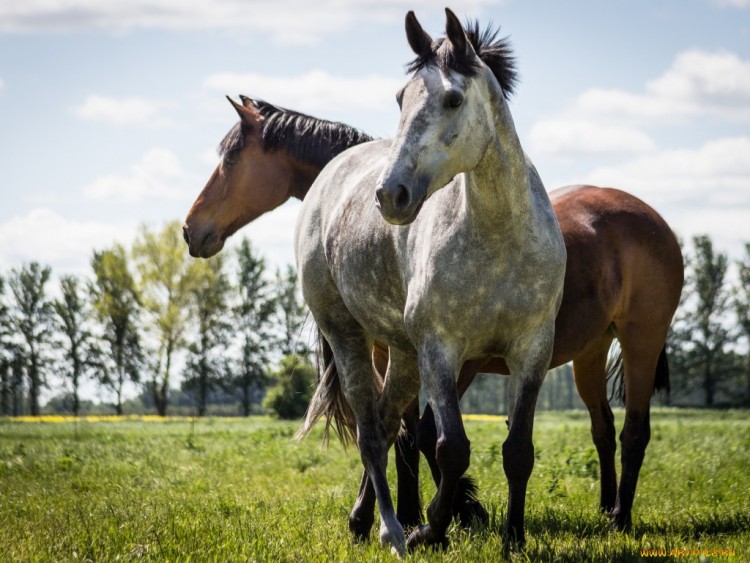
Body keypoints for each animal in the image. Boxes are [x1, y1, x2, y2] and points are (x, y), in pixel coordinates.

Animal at [185, 97, 684, 536]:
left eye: (231, 158)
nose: (191, 229)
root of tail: (651, 218)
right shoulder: (394, 352)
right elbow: (396, 431)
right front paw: (398, 513)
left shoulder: (455, 358)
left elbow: (422, 434)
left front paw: (448, 510)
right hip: (591, 351)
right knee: (603, 429)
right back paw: (605, 508)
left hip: (641, 339)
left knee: (634, 433)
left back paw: (621, 518)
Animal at [296, 8, 568, 556]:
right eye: (401, 98)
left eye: (453, 99)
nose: (390, 195)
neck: (498, 238)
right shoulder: (441, 350)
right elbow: (450, 449)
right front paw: (431, 528)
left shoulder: (532, 350)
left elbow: (518, 451)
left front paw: (513, 540)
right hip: (349, 335)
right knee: (371, 432)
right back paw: (394, 532)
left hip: (403, 353)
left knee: (383, 423)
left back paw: (367, 522)